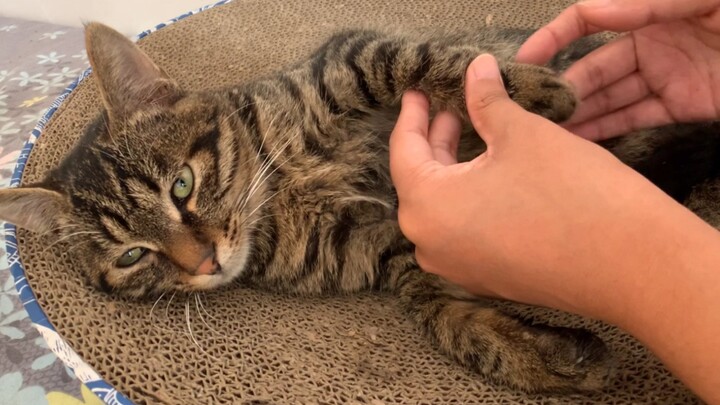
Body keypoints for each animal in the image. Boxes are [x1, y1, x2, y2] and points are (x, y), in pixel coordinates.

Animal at [1, 23, 720, 392]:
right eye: (132, 255)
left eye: (181, 186)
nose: (203, 261)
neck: (275, 199)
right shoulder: (385, 244)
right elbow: (442, 312)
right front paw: (541, 354)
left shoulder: (348, 57)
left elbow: (416, 60)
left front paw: (527, 88)